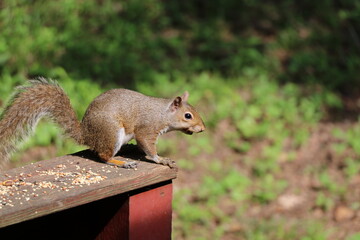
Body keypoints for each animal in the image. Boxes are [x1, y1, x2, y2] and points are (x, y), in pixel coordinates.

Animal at [0, 78, 205, 169]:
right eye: (187, 116)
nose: (202, 128)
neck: (163, 114)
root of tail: (86, 134)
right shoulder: (147, 128)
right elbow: (148, 147)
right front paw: (161, 159)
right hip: (112, 133)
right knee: (103, 156)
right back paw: (121, 162)